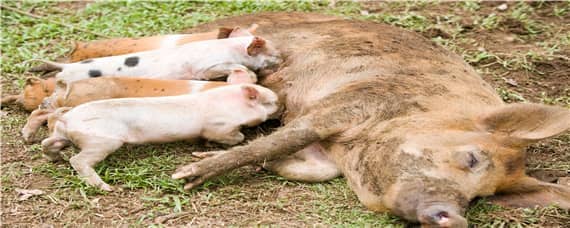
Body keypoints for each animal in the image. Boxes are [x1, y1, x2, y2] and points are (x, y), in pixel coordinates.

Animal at [42, 83, 278, 191]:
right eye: (272, 102)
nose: (281, 105)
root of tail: (68, 118)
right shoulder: (218, 126)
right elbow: (232, 137)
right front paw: (238, 137)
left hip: (64, 135)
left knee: (47, 143)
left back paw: (55, 158)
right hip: (101, 140)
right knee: (78, 160)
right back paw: (106, 188)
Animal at [170, 13, 568, 227]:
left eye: (480, 198)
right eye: (471, 158)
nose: (456, 218)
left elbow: (311, 167)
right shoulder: (354, 101)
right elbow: (290, 135)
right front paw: (187, 174)